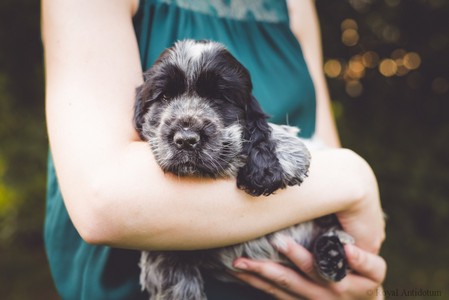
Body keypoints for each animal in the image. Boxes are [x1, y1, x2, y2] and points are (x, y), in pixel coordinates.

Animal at [135, 39, 352, 300]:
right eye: (164, 97)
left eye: (219, 98)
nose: (186, 139)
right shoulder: (161, 251)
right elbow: (172, 276)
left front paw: (289, 154)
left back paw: (331, 255)